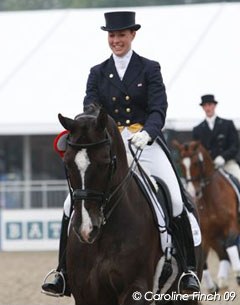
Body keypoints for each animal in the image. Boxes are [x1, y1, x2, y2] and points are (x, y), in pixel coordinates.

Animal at [172, 140, 240, 290]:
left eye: (197, 163)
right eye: (181, 163)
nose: (193, 192)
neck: (209, 198)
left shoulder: (231, 225)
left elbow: (230, 244)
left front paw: (238, 273)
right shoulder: (206, 235)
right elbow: (202, 261)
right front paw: (211, 287)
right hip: (214, 238)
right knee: (222, 254)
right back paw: (221, 281)